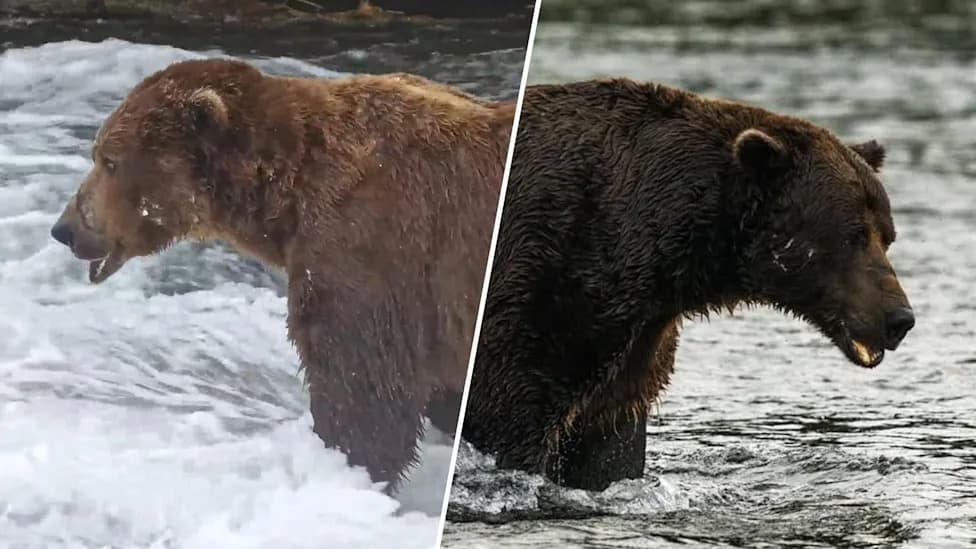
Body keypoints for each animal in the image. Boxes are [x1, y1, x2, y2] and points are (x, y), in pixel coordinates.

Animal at [49, 58, 515, 490]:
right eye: (97, 153)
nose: (65, 229)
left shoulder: (369, 247)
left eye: (109, 160)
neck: (286, 194)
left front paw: (345, 468)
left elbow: (361, 387)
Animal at [460, 78, 916, 492]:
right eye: (852, 236)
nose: (899, 318)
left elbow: (609, 446)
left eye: (888, 236)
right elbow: (511, 417)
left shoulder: (633, 351)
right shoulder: (542, 293)